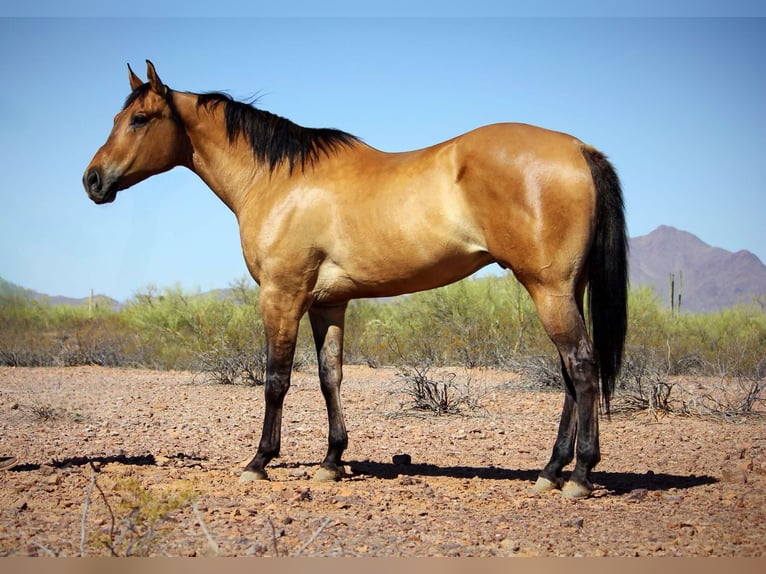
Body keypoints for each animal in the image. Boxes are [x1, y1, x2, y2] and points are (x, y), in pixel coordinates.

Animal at [84, 60, 628, 498]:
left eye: (139, 119)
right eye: (114, 119)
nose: (93, 180)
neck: (280, 181)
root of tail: (580, 149)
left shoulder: (282, 296)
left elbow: (276, 378)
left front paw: (260, 461)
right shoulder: (328, 303)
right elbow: (330, 377)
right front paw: (331, 461)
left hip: (548, 290)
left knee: (581, 366)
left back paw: (579, 476)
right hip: (565, 290)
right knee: (569, 375)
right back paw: (551, 470)